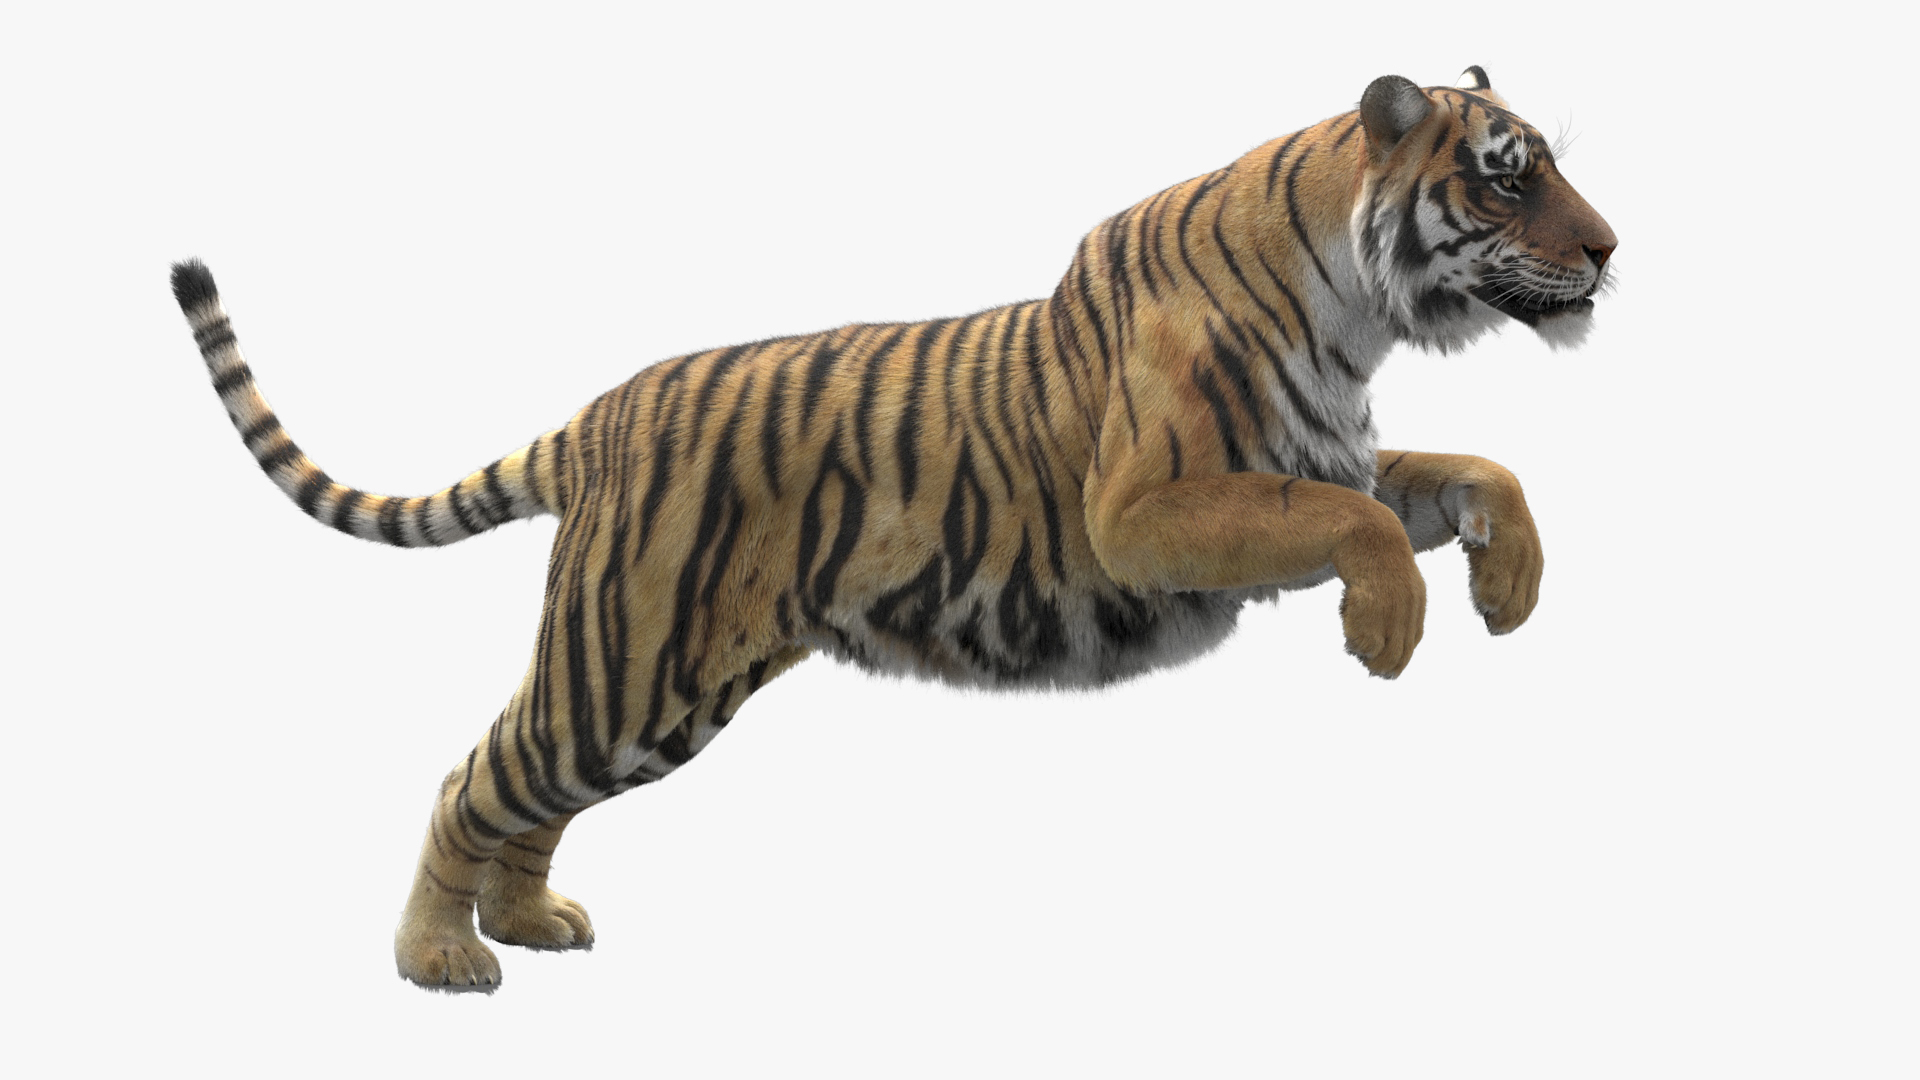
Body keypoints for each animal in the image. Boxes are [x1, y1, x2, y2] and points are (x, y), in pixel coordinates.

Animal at [172, 65, 1614, 991]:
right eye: (1505, 181)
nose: (1611, 251)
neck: (1356, 313)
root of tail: (599, 416)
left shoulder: (1331, 457)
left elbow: (1478, 471)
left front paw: (1508, 588)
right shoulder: (1150, 510)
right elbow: (1354, 524)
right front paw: (1390, 631)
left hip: (654, 693)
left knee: (530, 796)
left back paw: (529, 925)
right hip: (628, 662)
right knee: (476, 776)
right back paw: (440, 959)